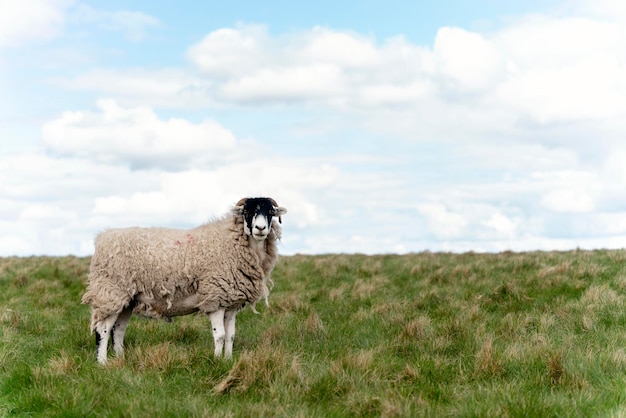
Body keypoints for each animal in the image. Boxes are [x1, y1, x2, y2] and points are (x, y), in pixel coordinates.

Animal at [81, 198, 288, 364]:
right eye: (247, 212)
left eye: (270, 212)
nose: (260, 228)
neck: (232, 241)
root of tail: (102, 238)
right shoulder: (215, 297)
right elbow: (220, 335)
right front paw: (216, 361)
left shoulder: (231, 303)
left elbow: (230, 336)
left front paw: (228, 360)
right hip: (112, 292)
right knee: (102, 329)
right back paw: (102, 363)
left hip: (128, 300)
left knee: (118, 330)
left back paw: (120, 359)